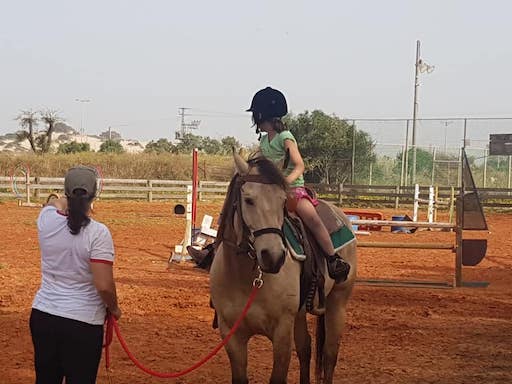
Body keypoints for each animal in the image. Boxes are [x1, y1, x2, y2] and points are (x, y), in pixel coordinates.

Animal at [208, 152, 356, 382]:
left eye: (282, 201)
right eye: (248, 200)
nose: (274, 256)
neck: (246, 278)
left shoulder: (281, 332)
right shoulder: (231, 334)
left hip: (337, 303)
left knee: (330, 354)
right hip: (301, 312)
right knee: (306, 348)